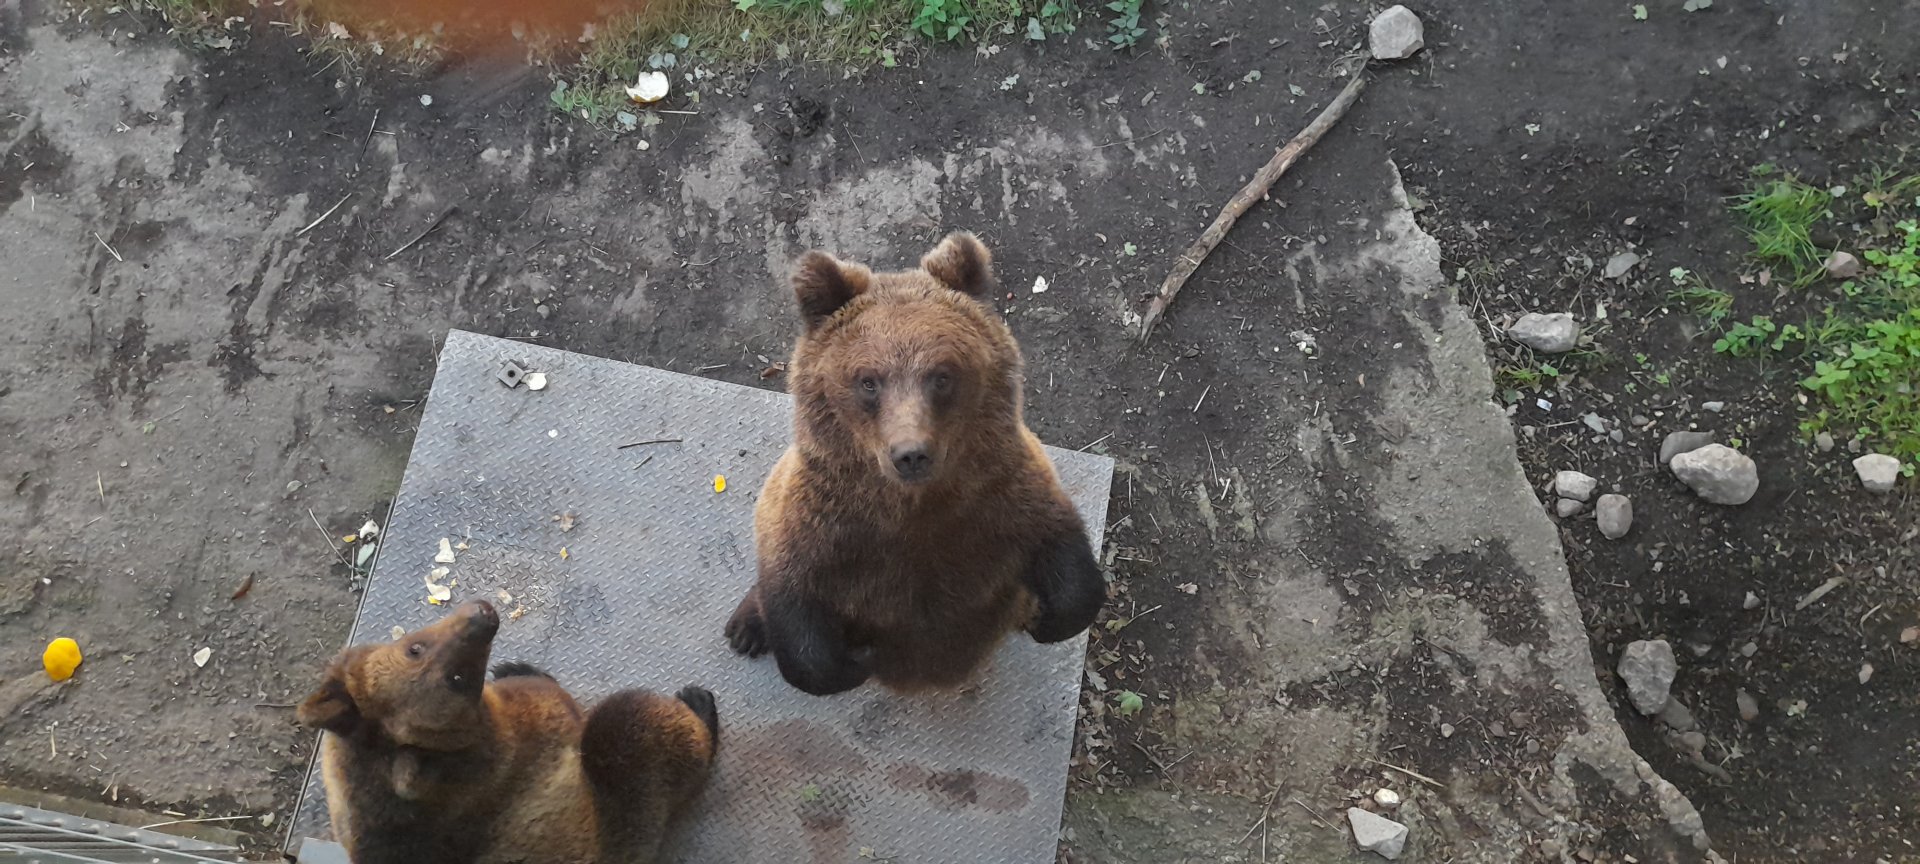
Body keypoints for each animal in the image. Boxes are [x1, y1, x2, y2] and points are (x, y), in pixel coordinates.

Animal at [297, 599, 718, 864]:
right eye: (456, 680)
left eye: (414, 647)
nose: (482, 616)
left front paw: (513, 664)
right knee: (632, 724)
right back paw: (700, 708)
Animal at [724, 231, 1107, 696]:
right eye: (868, 381)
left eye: (941, 375)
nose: (910, 454)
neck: (914, 505)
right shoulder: (825, 525)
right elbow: (797, 606)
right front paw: (853, 662)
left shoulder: (1000, 494)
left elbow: (1062, 553)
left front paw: (1047, 618)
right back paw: (746, 629)